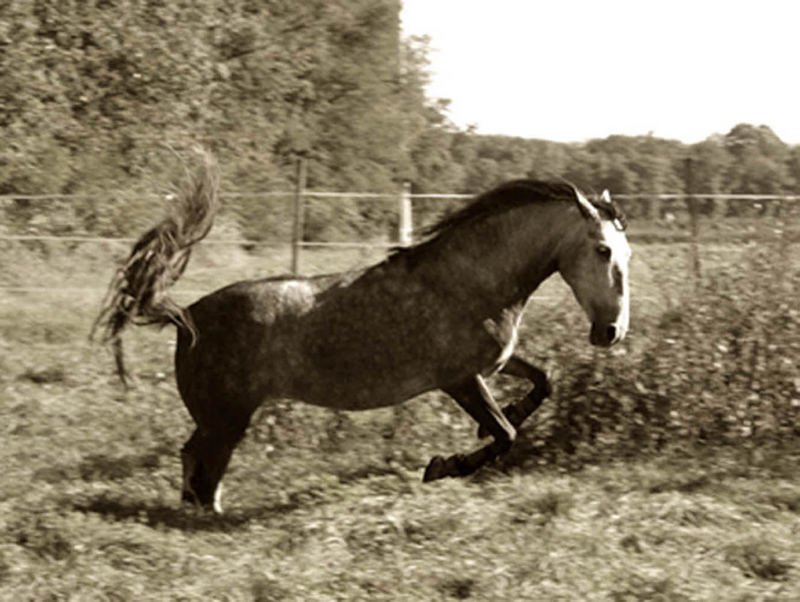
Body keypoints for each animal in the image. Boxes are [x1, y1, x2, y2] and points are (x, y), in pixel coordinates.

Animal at [94, 150, 632, 510]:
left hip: (220, 417)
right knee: (204, 469)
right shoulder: (458, 379)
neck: (470, 281)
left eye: (627, 252)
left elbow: (543, 384)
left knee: (194, 461)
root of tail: (186, 317)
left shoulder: (492, 365)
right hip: (227, 417)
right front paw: (443, 466)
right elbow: (503, 434)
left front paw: (495, 423)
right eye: (603, 250)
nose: (612, 332)